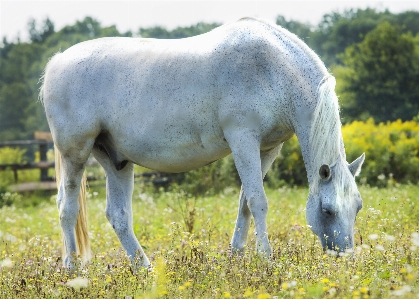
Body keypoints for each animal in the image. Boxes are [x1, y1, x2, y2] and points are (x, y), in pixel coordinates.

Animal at [41, 17, 366, 270]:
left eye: (358, 207)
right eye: (328, 210)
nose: (345, 259)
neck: (273, 67)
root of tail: (56, 61)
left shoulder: (267, 149)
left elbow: (244, 204)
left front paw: (237, 257)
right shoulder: (243, 140)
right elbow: (258, 201)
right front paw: (266, 259)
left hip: (116, 161)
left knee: (118, 215)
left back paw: (145, 269)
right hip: (75, 154)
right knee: (67, 207)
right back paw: (73, 270)